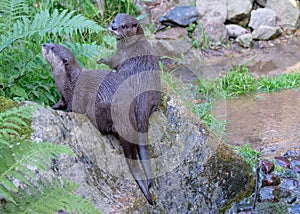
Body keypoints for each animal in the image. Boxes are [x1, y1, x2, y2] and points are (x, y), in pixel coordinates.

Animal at [42, 43, 154, 204]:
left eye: (53, 48)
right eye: (53, 43)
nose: (44, 44)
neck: (67, 81)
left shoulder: (71, 98)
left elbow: (69, 108)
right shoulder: (63, 95)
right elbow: (59, 102)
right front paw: (52, 107)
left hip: (97, 107)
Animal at [97, 13, 161, 191]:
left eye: (124, 26)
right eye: (114, 21)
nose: (113, 27)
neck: (132, 42)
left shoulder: (120, 55)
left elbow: (110, 61)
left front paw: (100, 59)